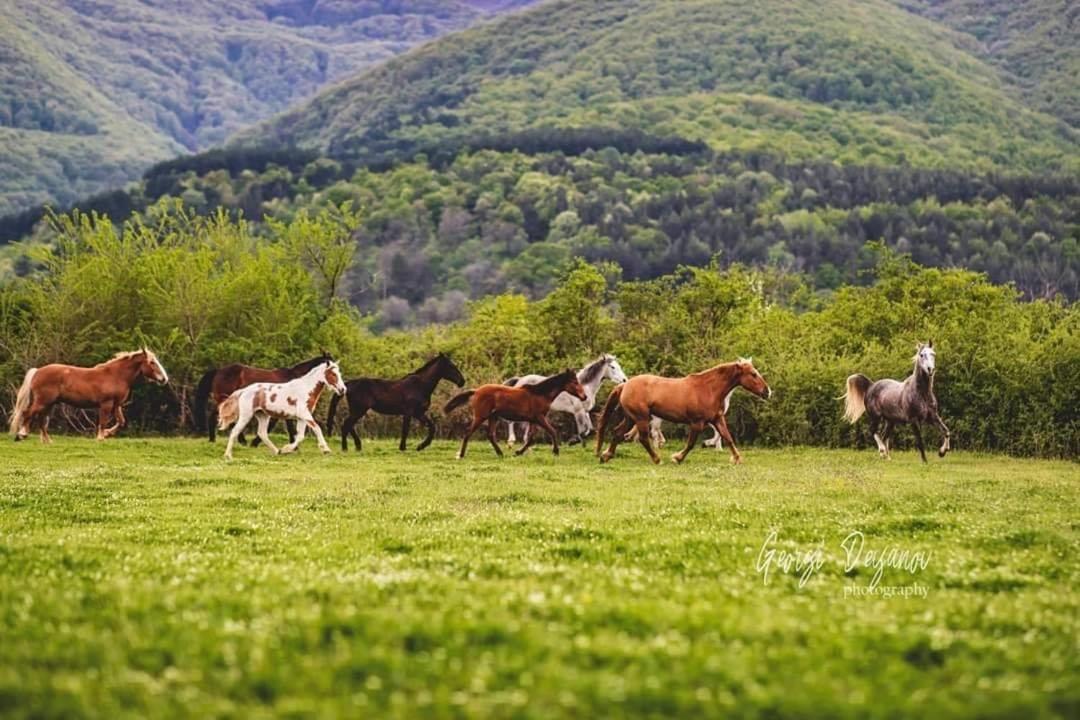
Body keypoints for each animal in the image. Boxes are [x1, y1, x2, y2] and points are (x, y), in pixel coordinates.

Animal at [8, 349, 168, 444]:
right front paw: (101, 437)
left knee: (41, 420)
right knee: (28, 413)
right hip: (42, 401)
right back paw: (21, 435)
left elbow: (121, 422)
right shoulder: (106, 404)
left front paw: (108, 434)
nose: (164, 379)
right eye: (152, 362)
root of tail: (37, 371)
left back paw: (47, 441)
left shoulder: (116, 405)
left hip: (49, 403)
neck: (115, 375)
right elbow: (103, 421)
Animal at [326, 354, 466, 453]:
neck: (420, 386)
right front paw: (403, 447)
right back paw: (346, 448)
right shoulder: (409, 412)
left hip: (357, 410)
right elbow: (405, 429)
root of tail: (348, 385)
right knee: (346, 425)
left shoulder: (419, 413)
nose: (462, 381)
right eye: (451, 366)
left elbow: (432, 427)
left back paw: (357, 446)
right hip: (359, 410)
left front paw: (420, 446)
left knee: (349, 426)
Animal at [442, 369, 587, 459]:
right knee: (468, 432)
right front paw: (556, 451)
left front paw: (518, 452)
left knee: (490, 435)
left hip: (493, 417)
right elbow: (552, 431)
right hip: (480, 416)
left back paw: (500, 454)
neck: (540, 394)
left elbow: (531, 438)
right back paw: (461, 455)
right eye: (574, 382)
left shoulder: (533, 420)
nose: (584, 396)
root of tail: (476, 391)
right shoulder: (540, 418)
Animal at [600, 360, 768, 468]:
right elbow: (691, 443)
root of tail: (625, 385)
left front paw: (737, 459)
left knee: (618, 433)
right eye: (753, 374)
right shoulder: (697, 423)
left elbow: (728, 438)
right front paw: (677, 458)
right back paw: (657, 459)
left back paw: (606, 456)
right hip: (641, 418)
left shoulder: (718, 419)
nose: (767, 391)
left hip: (631, 418)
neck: (709, 389)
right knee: (643, 438)